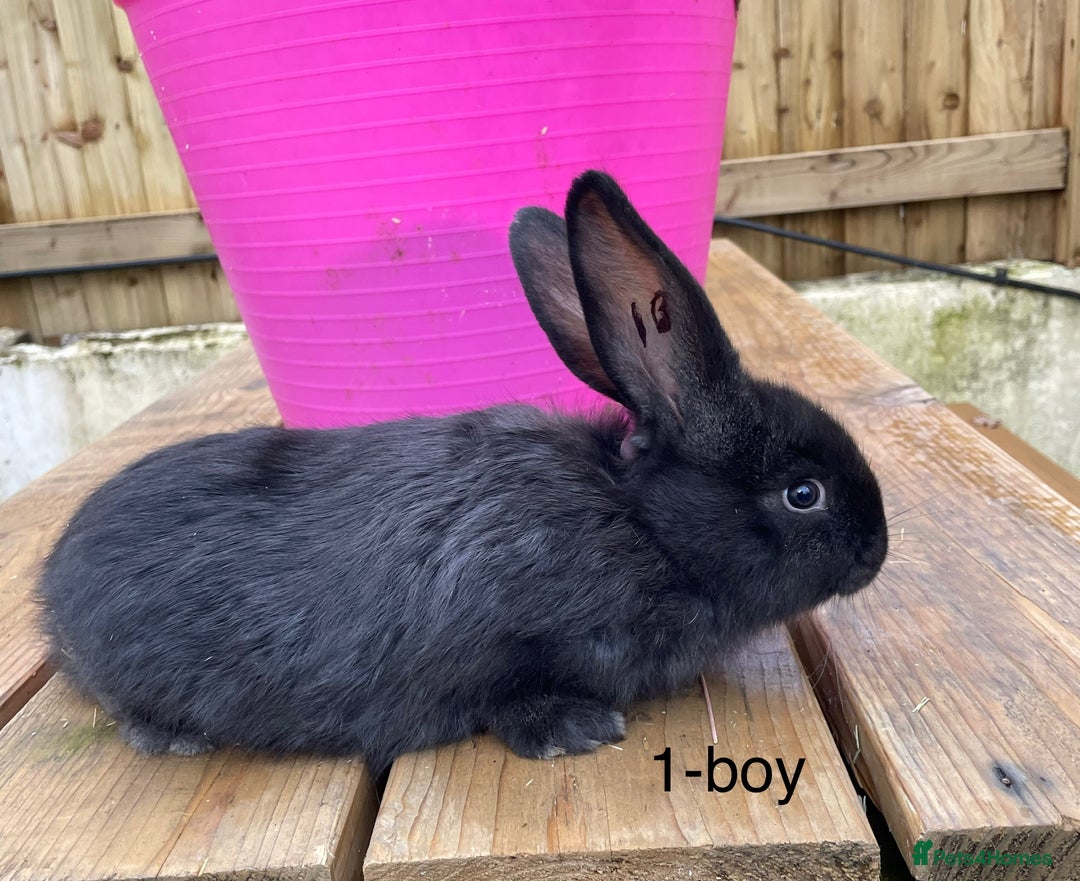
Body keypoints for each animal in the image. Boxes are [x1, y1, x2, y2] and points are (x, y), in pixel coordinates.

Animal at [38, 170, 887, 776]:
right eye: (803, 493)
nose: (877, 551)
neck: (643, 526)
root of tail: (52, 590)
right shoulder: (500, 637)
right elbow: (506, 696)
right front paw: (574, 729)